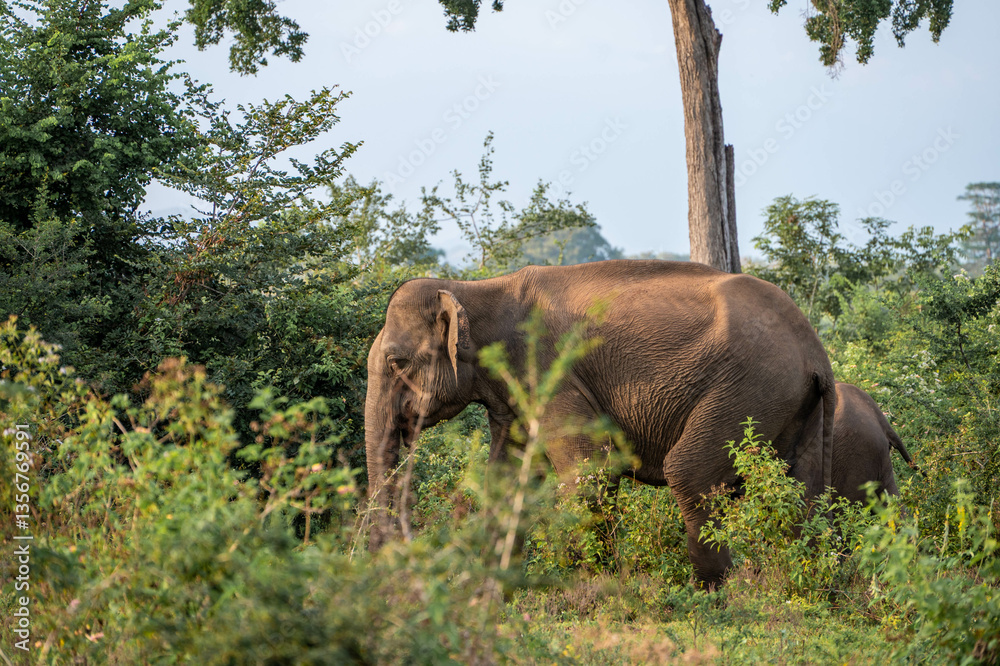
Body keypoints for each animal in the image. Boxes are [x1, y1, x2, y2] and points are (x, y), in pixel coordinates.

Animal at [364, 260, 836, 586]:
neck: (475, 290)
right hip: (794, 404)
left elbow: (590, 469)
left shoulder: (552, 371)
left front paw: (590, 587)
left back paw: (714, 598)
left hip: (750, 385)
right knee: (801, 492)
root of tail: (814, 350)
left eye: (396, 361)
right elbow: (508, 474)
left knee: (689, 472)